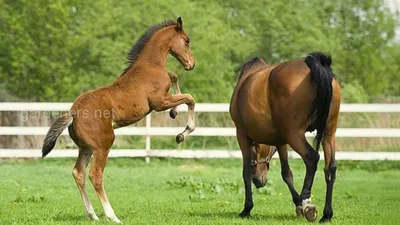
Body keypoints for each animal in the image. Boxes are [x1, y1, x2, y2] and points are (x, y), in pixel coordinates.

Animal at [41, 17, 195, 223]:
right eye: (186, 41)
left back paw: (92, 215)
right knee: (95, 175)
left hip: (86, 148)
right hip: (103, 145)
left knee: (78, 173)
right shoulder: (159, 102)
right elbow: (189, 98)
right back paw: (111, 216)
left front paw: (175, 113)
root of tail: (73, 113)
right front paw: (182, 133)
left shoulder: (164, 95)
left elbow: (174, 77)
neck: (150, 66)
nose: (191, 64)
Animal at [231, 51, 340, 222]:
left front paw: (247, 208)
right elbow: (286, 173)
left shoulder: (241, 134)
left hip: (294, 134)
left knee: (312, 157)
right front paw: (297, 204)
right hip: (328, 134)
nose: (259, 181)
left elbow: (246, 172)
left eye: (256, 151)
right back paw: (326, 214)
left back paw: (308, 204)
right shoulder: (281, 141)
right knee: (330, 168)